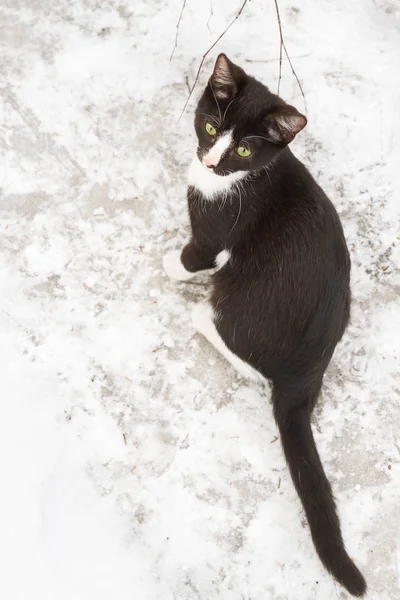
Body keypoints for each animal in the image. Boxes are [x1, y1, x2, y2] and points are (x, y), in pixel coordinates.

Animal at [162, 55, 366, 596]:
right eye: (212, 127)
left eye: (245, 148)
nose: (211, 161)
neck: (231, 181)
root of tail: (308, 374)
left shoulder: (216, 232)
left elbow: (195, 255)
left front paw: (172, 264)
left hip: (242, 299)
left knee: (247, 357)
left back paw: (202, 316)